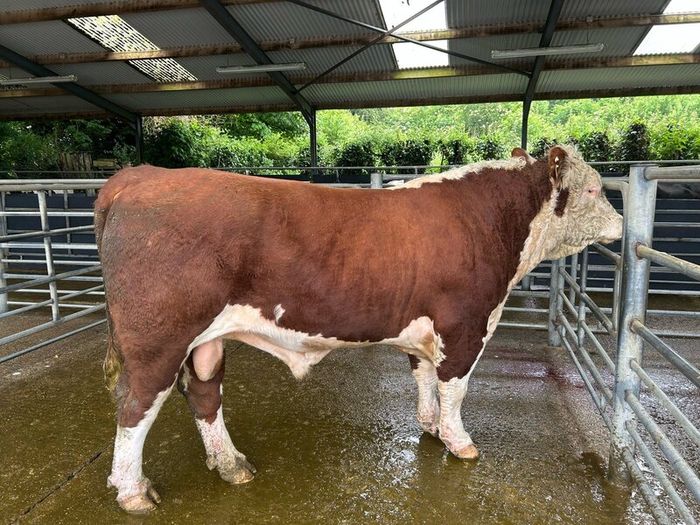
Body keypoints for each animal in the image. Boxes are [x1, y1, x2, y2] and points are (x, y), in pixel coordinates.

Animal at [94, 145, 623, 513]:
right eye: (593, 189)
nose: (621, 224)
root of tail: (139, 176)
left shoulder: (423, 327)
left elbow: (424, 377)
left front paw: (430, 427)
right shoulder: (467, 323)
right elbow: (455, 388)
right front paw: (459, 442)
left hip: (204, 341)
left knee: (204, 393)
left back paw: (231, 465)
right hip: (157, 340)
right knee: (135, 406)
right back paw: (133, 491)